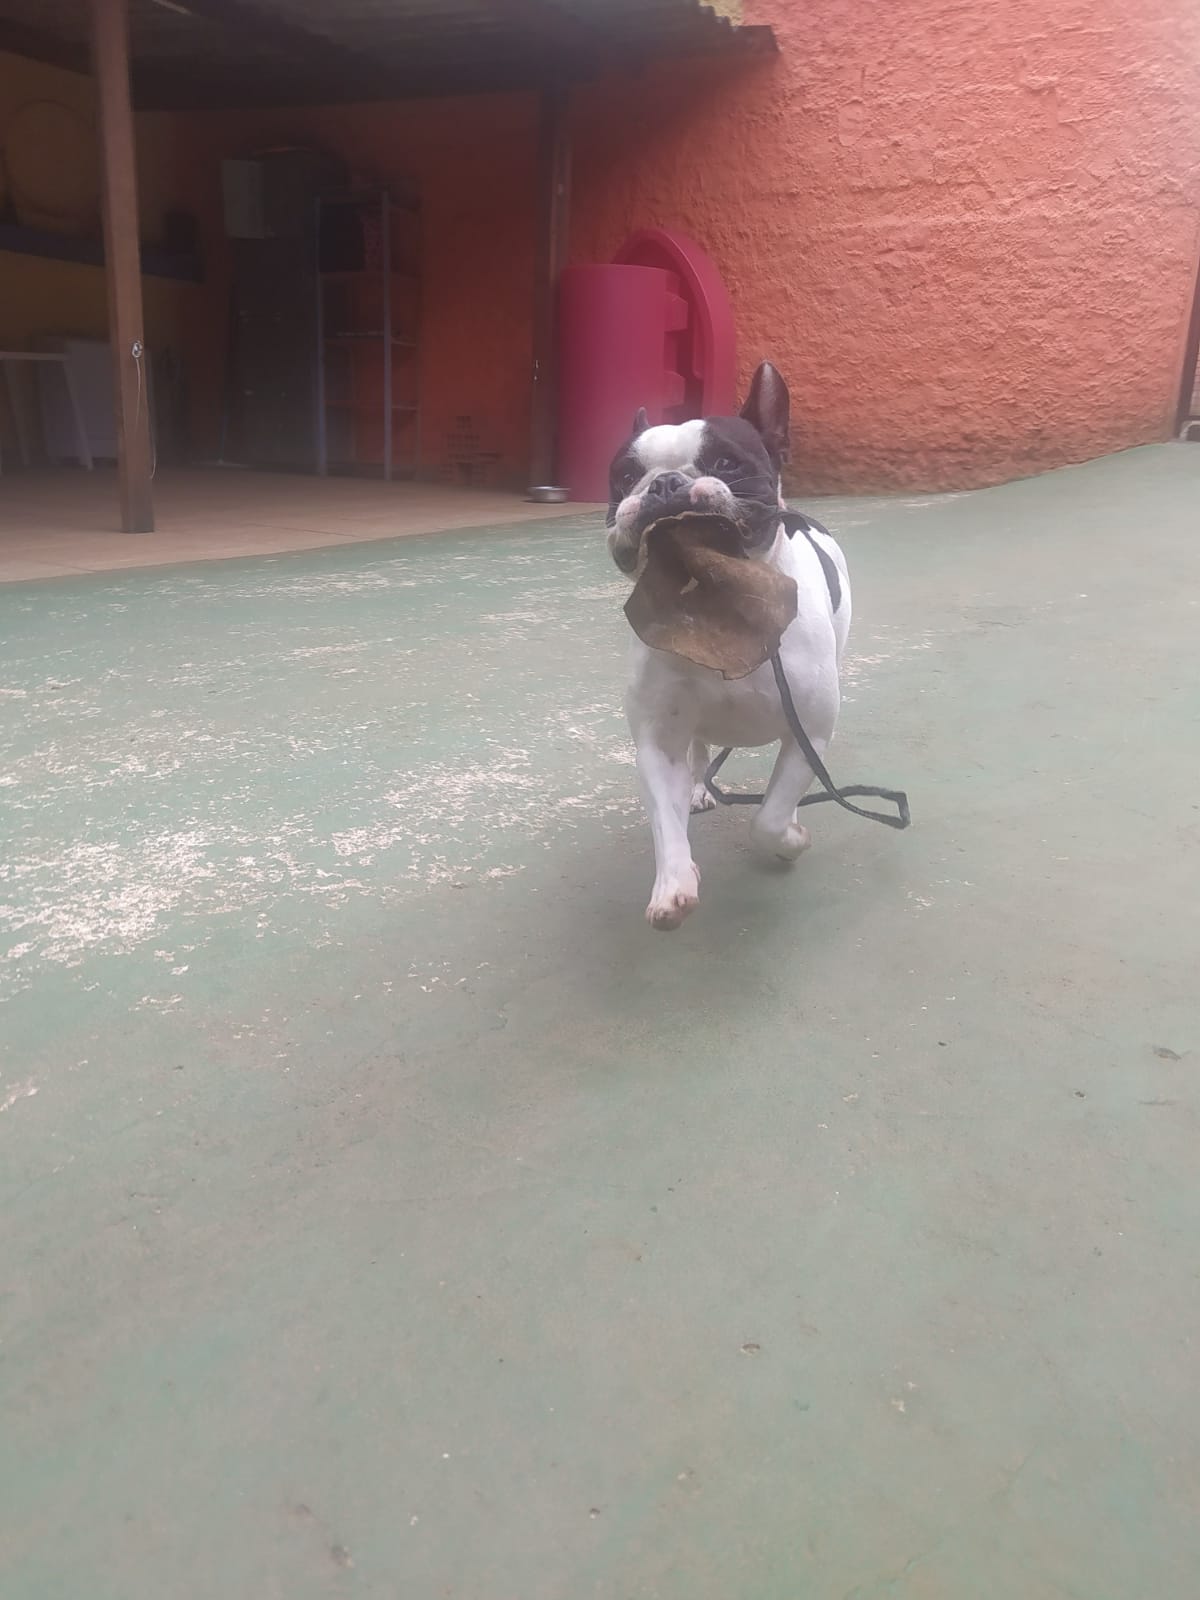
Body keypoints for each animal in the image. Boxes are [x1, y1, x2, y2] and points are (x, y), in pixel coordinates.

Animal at [607, 362, 851, 930]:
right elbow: (666, 823)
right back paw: (698, 789)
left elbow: (769, 817)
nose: (666, 482)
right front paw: (673, 884)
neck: (718, 608)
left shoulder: (806, 735)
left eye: (725, 463)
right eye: (626, 477)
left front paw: (790, 840)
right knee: (699, 754)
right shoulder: (658, 744)